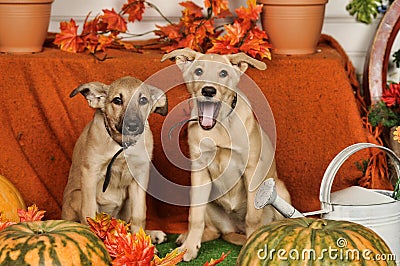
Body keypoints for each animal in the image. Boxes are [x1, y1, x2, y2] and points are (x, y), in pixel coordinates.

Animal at [62, 75, 167, 243]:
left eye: (143, 100)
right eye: (117, 100)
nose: (132, 125)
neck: (122, 146)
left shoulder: (139, 177)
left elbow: (139, 215)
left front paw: (139, 242)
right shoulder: (90, 172)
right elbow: (89, 213)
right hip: (76, 196)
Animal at [162, 48, 290, 260]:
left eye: (223, 73)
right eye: (198, 71)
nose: (208, 91)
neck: (219, 126)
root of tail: (234, 229)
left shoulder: (251, 171)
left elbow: (252, 218)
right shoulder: (199, 173)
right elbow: (194, 216)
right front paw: (189, 248)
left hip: (279, 189)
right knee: (216, 232)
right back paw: (187, 239)